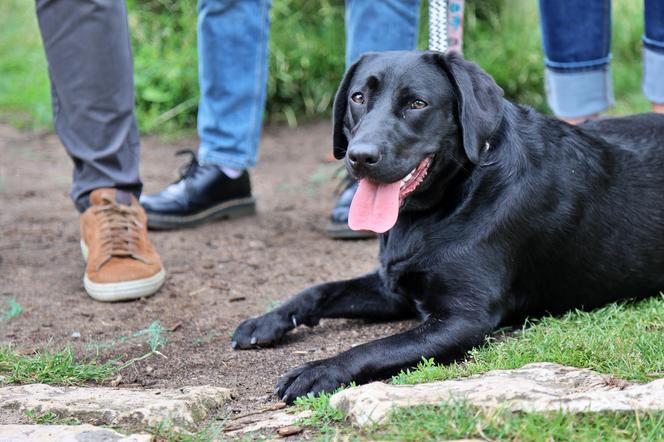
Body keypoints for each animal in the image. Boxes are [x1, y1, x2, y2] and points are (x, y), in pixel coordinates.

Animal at [232, 51, 664, 404]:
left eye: (417, 103)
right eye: (358, 98)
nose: (359, 157)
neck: (453, 197)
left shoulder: (462, 320)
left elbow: (374, 348)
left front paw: (319, 370)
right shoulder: (395, 287)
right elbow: (320, 290)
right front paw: (267, 320)